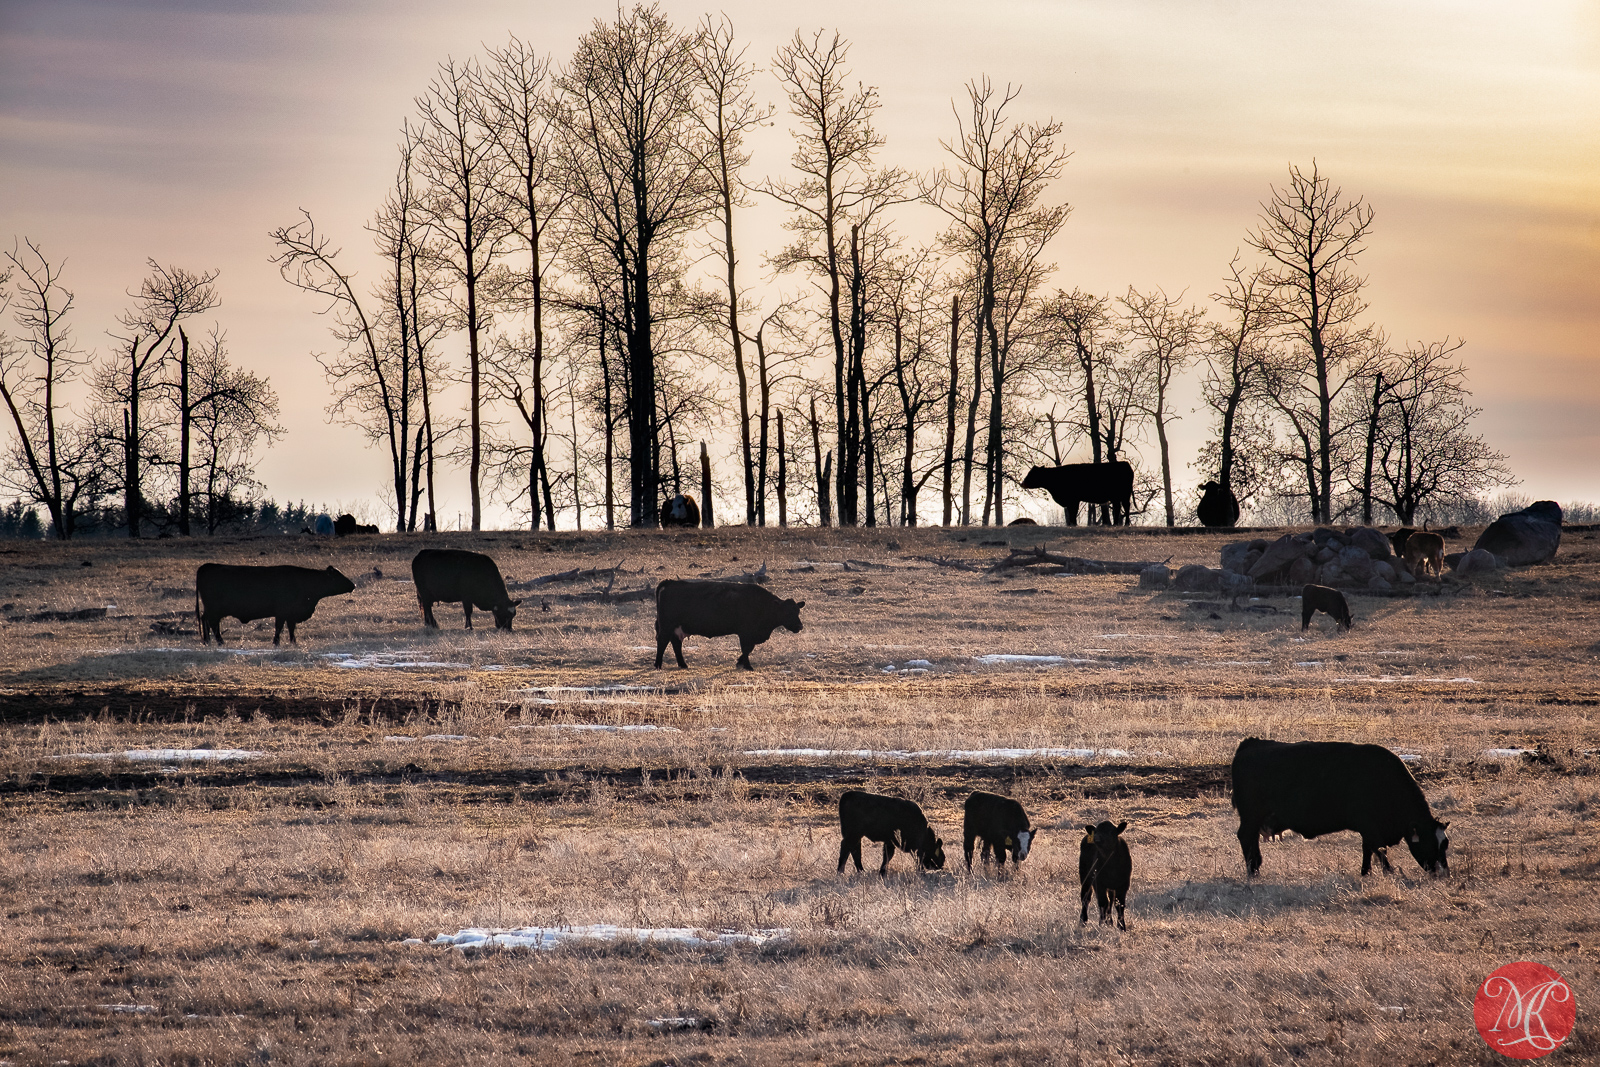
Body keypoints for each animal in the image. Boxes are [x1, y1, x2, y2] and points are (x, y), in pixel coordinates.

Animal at [195, 563, 355, 646]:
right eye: (338, 576)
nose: (353, 585)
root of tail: (207, 565)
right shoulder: (282, 612)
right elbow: (279, 627)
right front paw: (276, 642)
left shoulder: (290, 614)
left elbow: (291, 628)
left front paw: (293, 642)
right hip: (214, 609)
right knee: (212, 623)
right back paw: (219, 641)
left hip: (211, 609)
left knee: (205, 620)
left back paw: (207, 640)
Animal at [649, 579, 800, 671]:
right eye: (787, 612)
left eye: (797, 611)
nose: (800, 626)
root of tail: (670, 583)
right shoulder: (745, 633)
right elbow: (747, 649)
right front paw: (747, 666)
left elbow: (748, 649)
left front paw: (740, 662)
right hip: (667, 626)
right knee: (662, 642)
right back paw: (658, 664)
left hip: (677, 628)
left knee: (675, 643)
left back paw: (683, 664)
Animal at [1222, 739, 1452, 883]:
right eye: (1431, 843)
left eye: (1445, 844)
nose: (1444, 874)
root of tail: (1251, 744)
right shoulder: (1370, 828)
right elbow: (1379, 850)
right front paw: (1389, 872)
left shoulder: (1368, 830)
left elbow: (1368, 850)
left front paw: (1366, 872)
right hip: (1251, 818)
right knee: (1246, 838)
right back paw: (1253, 869)